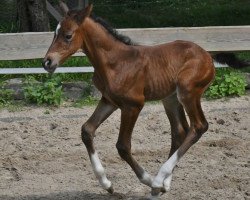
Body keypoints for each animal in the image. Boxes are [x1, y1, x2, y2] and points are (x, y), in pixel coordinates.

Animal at [43, 3, 215, 198]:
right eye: (54, 33)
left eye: (68, 35)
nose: (47, 62)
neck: (115, 62)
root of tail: (208, 56)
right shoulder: (109, 101)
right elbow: (87, 130)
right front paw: (107, 184)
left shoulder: (133, 105)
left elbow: (123, 146)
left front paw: (149, 181)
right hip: (170, 99)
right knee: (180, 131)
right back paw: (165, 182)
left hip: (188, 92)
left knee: (199, 126)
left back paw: (158, 181)